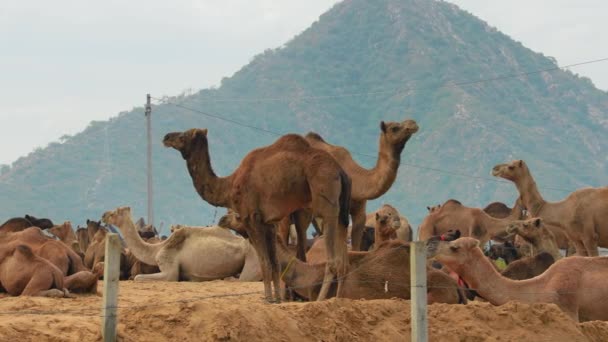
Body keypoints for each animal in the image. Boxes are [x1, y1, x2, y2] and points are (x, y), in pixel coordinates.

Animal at [100, 207, 262, 282]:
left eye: (114, 212)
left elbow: (139, 277)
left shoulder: (168, 265)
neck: (157, 249)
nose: (103, 215)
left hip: (253, 258)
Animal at [163, 128, 352, 302]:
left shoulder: (251, 218)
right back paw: (339, 298)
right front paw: (278, 298)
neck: (230, 184)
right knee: (343, 260)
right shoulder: (269, 222)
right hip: (342, 211)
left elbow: (265, 263)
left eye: (183, 136)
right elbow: (275, 263)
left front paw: (268, 298)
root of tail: (340, 171)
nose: (166, 137)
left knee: (332, 261)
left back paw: (320, 300)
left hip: (325, 199)